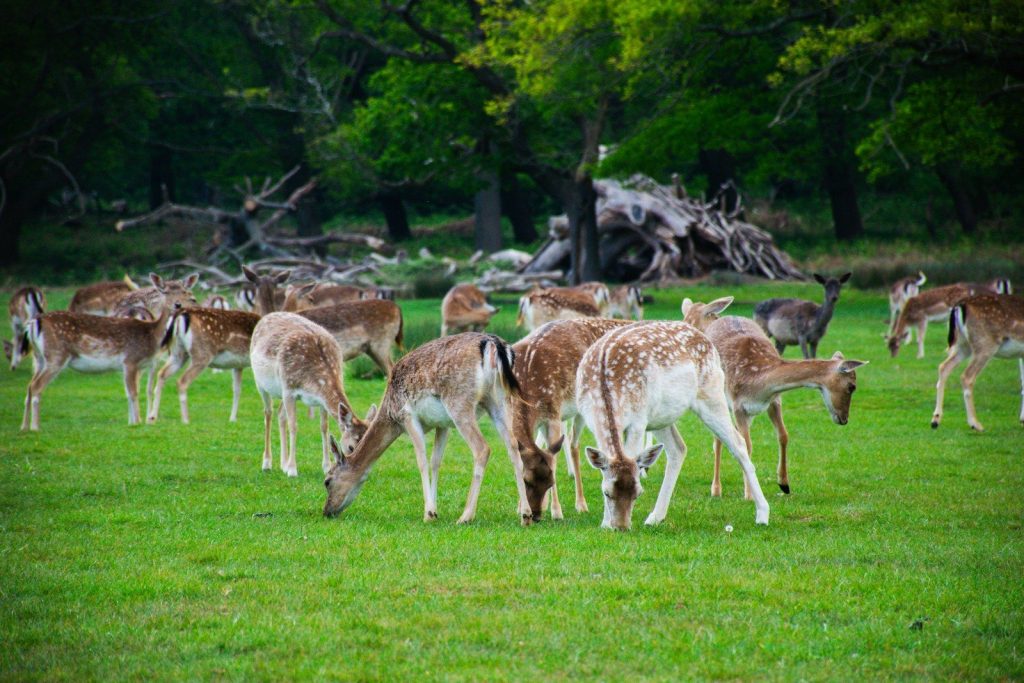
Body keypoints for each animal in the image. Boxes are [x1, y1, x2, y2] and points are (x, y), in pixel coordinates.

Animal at [20, 274, 197, 431]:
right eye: (164, 291)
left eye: (184, 291)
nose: (178, 305)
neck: (152, 334)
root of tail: (34, 322)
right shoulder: (130, 360)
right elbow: (133, 393)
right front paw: (137, 422)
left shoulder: (139, 365)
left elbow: (133, 392)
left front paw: (134, 422)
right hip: (56, 356)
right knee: (36, 386)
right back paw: (35, 427)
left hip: (41, 358)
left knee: (29, 386)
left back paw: (24, 427)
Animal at [250, 312, 370, 476]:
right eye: (351, 446)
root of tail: (265, 317)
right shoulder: (289, 389)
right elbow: (294, 426)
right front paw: (292, 470)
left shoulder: (320, 400)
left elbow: (324, 427)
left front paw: (326, 466)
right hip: (261, 383)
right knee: (268, 413)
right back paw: (267, 463)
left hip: (280, 391)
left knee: (280, 414)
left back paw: (283, 464)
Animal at [323, 332, 536, 526]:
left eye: (327, 481)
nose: (327, 511)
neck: (390, 415)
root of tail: (493, 344)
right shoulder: (442, 424)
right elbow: (435, 462)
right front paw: (435, 510)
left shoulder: (407, 416)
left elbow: (422, 461)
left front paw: (429, 513)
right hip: (501, 400)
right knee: (513, 447)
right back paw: (526, 515)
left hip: (460, 403)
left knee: (482, 448)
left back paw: (466, 516)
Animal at [577, 321, 771, 530]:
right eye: (606, 492)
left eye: (638, 492)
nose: (622, 527)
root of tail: (705, 338)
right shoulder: (592, 422)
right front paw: (605, 523)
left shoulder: (638, 421)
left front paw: (607, 522)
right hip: (661, 418)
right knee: (679, 448)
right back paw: (655, 517)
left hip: (712, 393)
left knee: (739, 443)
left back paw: (762, 514)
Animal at [931, 293, 1024, 431]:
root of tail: (959, 305)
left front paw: (1022, 419)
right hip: (985, 344)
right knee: (966, 375)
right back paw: (975, 424)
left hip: (963, 344)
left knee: (944, 367)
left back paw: (935, 420)